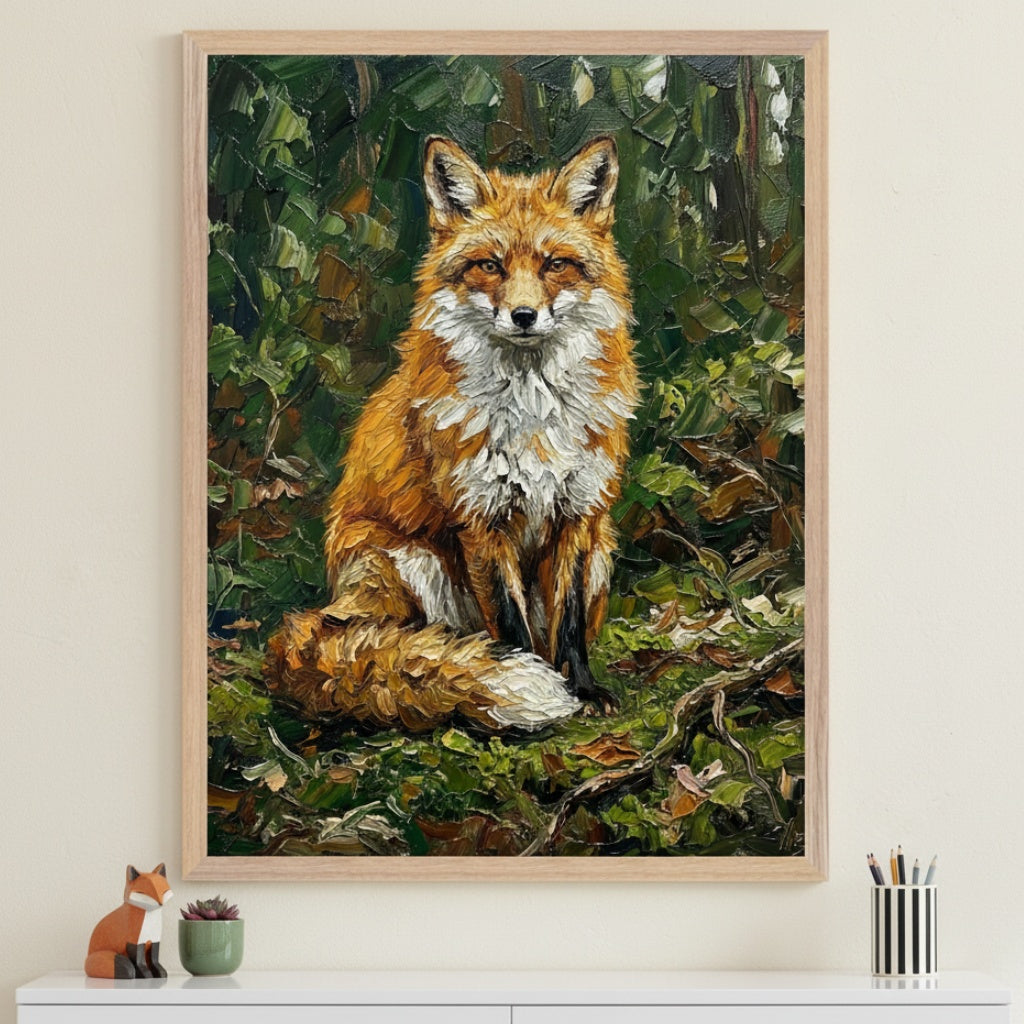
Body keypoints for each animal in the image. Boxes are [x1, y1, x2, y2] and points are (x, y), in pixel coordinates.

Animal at [265, 134, 638, 733]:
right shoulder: (480, 516)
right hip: (409, 563)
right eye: (490, 265)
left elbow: (570, 622)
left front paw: (581, 687)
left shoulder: (579, 512)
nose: (524, 315)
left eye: (556, 264)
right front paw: (529, 682)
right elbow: (510, 627)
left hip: (604, 550)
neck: (533, 414)